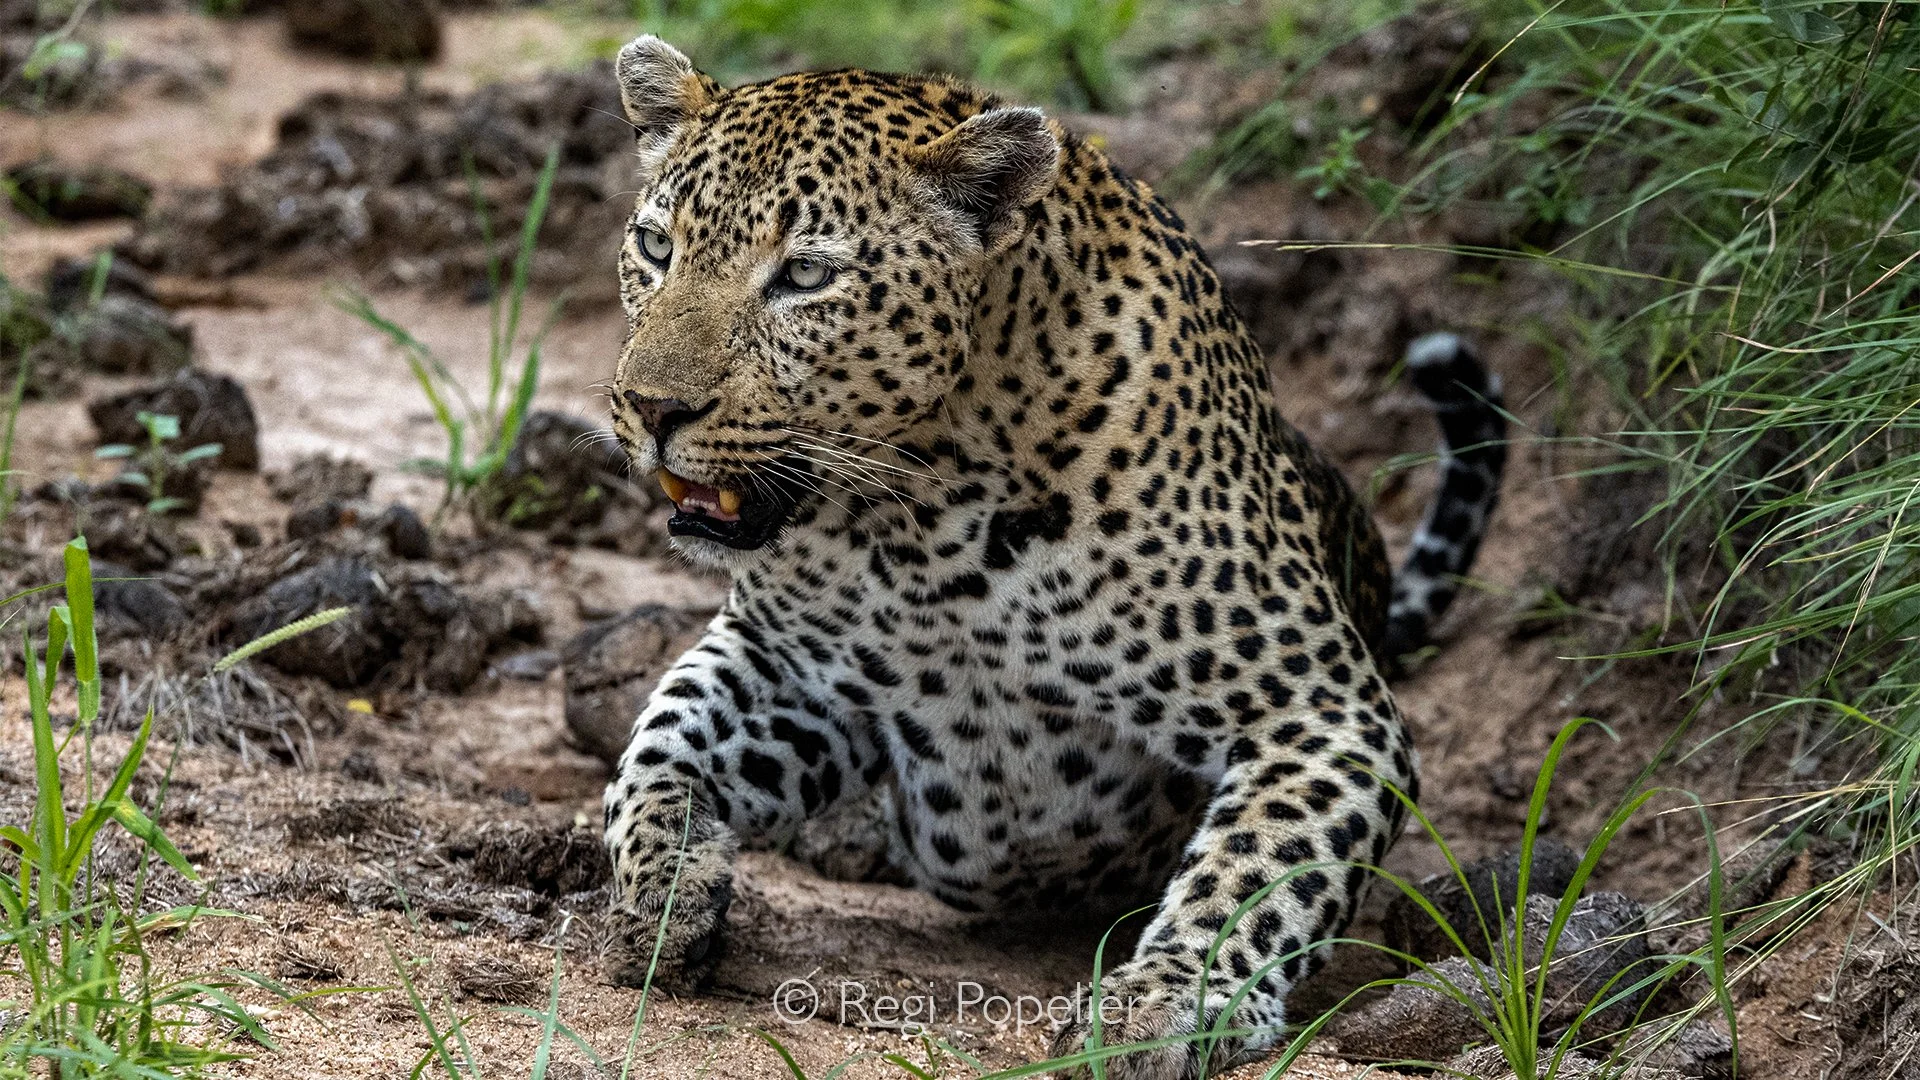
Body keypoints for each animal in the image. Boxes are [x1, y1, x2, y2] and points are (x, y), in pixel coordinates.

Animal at [598, 34, 1506, 1080]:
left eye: (806, 275)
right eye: (656, 248)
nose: (651, 408)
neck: (923, 515)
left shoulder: (1319, 708)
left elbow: (1256, 871)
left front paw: (1162, 1002)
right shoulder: (792, 665)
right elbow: (660, 741)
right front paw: (660, 891)